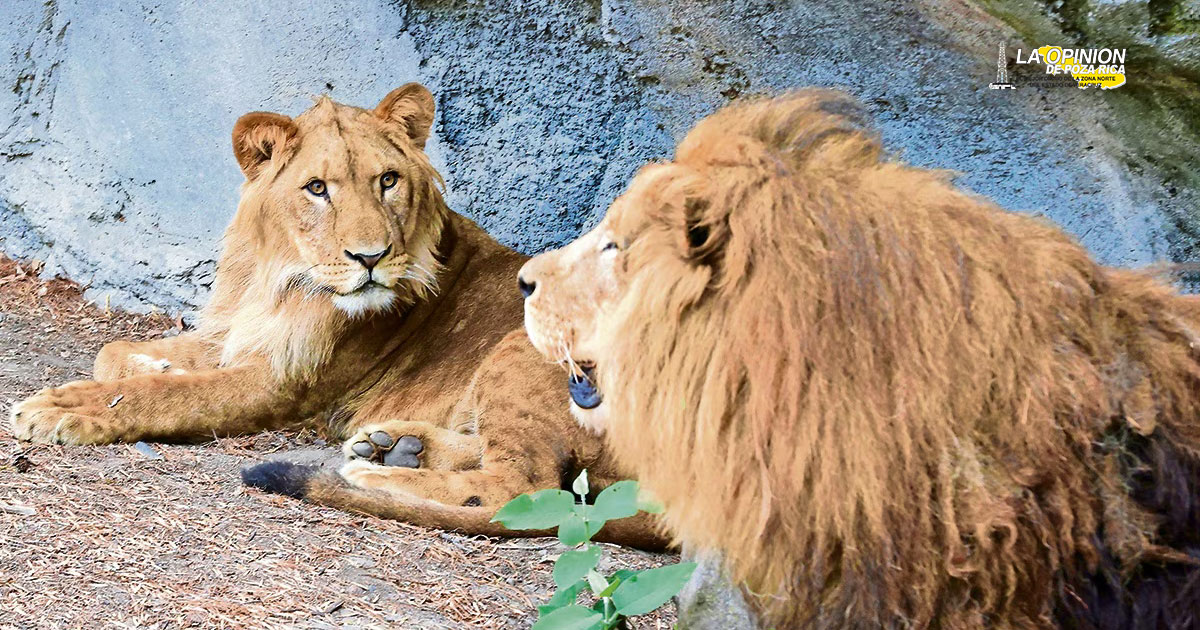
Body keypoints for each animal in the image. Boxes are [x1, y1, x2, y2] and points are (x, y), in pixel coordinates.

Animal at [9, 84, 664, 550]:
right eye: (317, 188)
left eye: (389, 181)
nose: (369, 257)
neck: (281, 280)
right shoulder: (240, 334)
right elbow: (115, 354)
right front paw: (150, 366)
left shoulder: (285, 384)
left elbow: (170, 398)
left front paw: (63, 408)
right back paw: (393, 447)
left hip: (524, 349)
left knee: (522, 490)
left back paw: (376, 476)